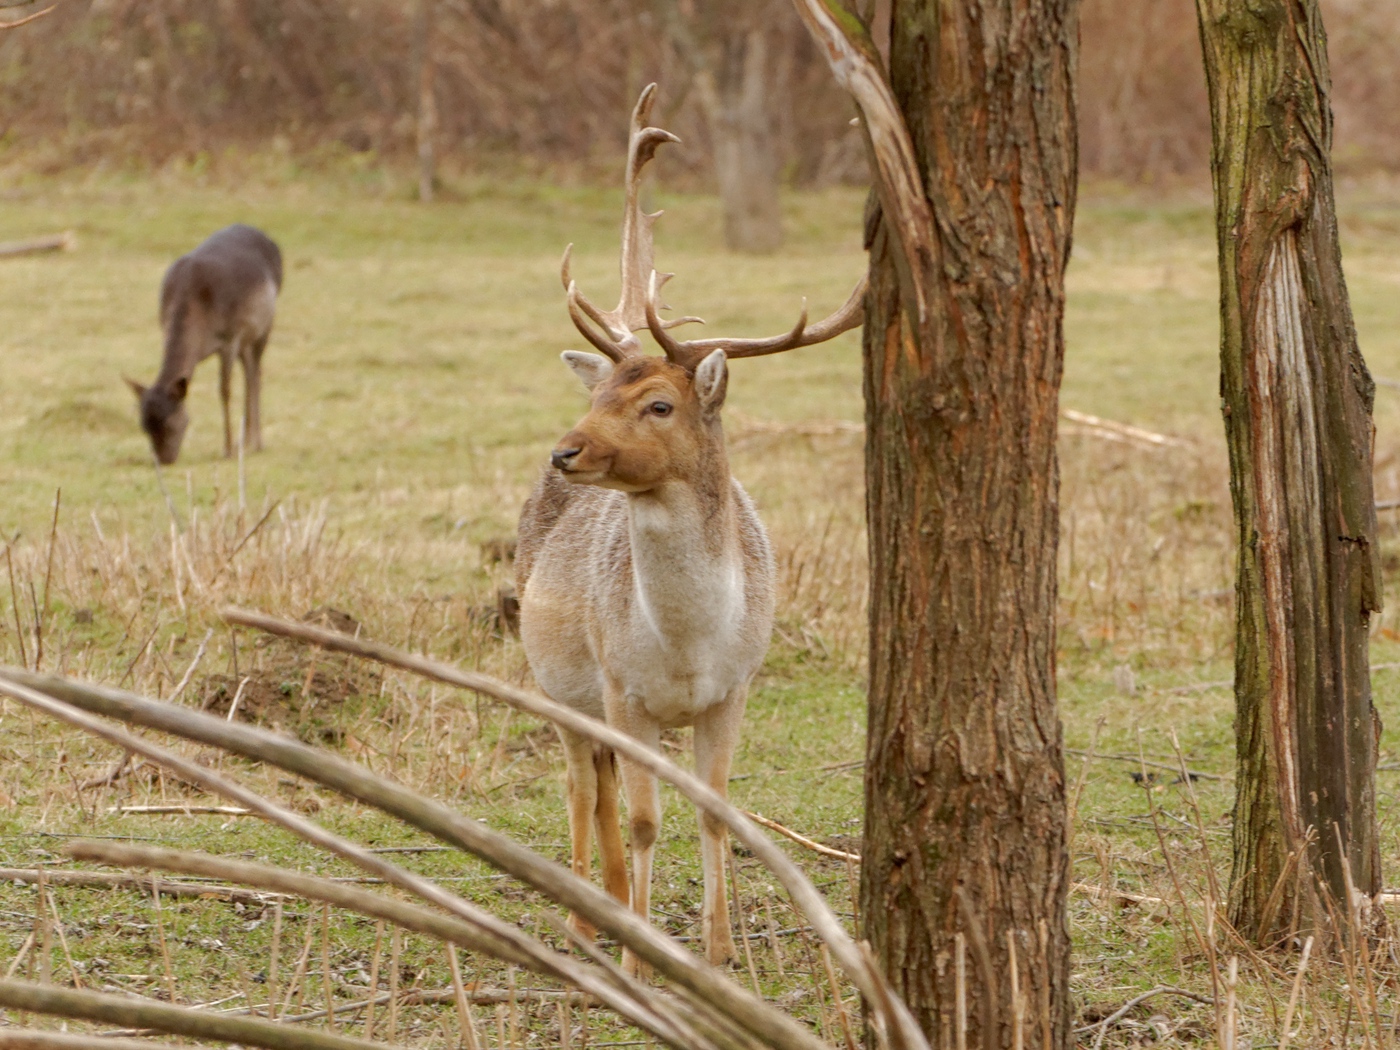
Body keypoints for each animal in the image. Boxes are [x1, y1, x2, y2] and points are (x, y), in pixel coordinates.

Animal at [126, 224, 283, 465]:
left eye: (170, 424)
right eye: (144, 426)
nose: (164, 460)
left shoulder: (229, 338)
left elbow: (225, 391)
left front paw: (227, 449)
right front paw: (234, 445)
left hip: (264, 325)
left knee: (255, 374)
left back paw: (256, 443)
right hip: (246, 339)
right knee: (249, 371)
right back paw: (246, 441)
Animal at [516, 85, 865, 973]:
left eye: (659, 404)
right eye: (602, 392)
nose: (565, 449)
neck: (686, 645)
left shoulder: (735, 687)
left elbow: (716, 811)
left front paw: (718, 949)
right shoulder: (621, 685)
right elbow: (644, 819)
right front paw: (645, 958)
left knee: (600, 782)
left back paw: (608, 911)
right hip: (553, 677)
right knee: (582, 781)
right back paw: (586, 922)